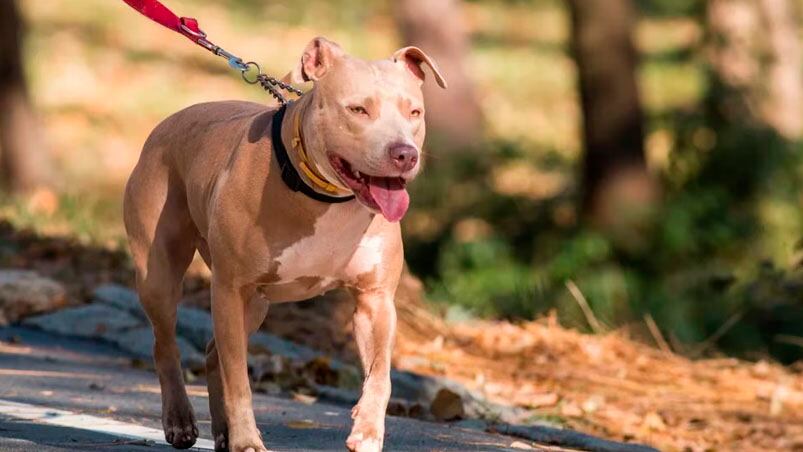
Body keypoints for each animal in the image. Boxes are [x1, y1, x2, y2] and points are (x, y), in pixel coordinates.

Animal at [121, 38, 446, 452]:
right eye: (358, 109)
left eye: (414, 112)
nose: (404, 153)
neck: (324, 196)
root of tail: (167, 123)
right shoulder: (230, 289)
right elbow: (239, 381)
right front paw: (248, 441)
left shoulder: (376, 300)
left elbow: (380, 375)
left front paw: (368, 431)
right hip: (161, 274)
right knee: (167, 345)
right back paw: (180, 421)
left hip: (256, 304)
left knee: (213, 355)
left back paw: (222, 432)